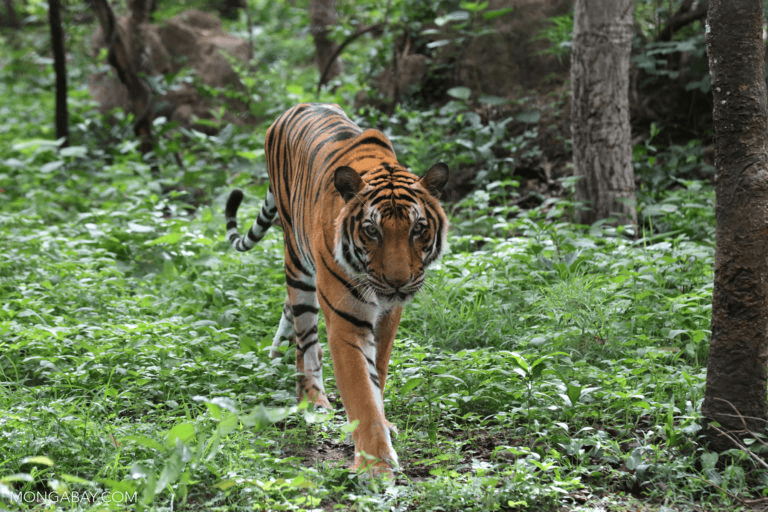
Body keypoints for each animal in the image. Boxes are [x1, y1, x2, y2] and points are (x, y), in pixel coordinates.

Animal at [224, 103, 449, 474]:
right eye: (372, 231)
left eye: (418, 229)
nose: (398, 282)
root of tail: (293, 108)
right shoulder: (347, 320)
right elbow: (360, 390)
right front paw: (376, 465)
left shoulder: (388, 316)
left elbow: (378, 373)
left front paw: (384, 426)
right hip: (298, 265)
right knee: (307, 341)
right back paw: (313, 400)